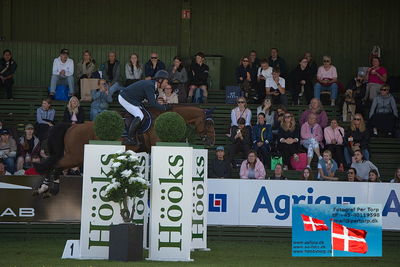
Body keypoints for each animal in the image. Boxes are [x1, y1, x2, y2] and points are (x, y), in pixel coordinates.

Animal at [33, 105, 216, 198]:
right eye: (208, 123)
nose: (212, 141)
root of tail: (73, 127)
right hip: (75, 156)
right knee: (55, 164)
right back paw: (46, 188)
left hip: (75, 157)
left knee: (55, 165)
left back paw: (48, 189)